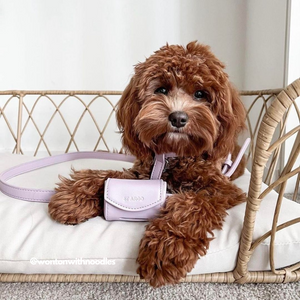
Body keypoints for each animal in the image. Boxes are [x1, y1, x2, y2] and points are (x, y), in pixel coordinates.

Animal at [48, 41, 246, 286]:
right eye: (161, 90)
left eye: (201, 94)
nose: (178, 118)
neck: (172, 155)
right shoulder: (143, 173)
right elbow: (106, 177)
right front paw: (72, 197)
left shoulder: (222, 190)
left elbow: (192, 204)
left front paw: (165, 251)